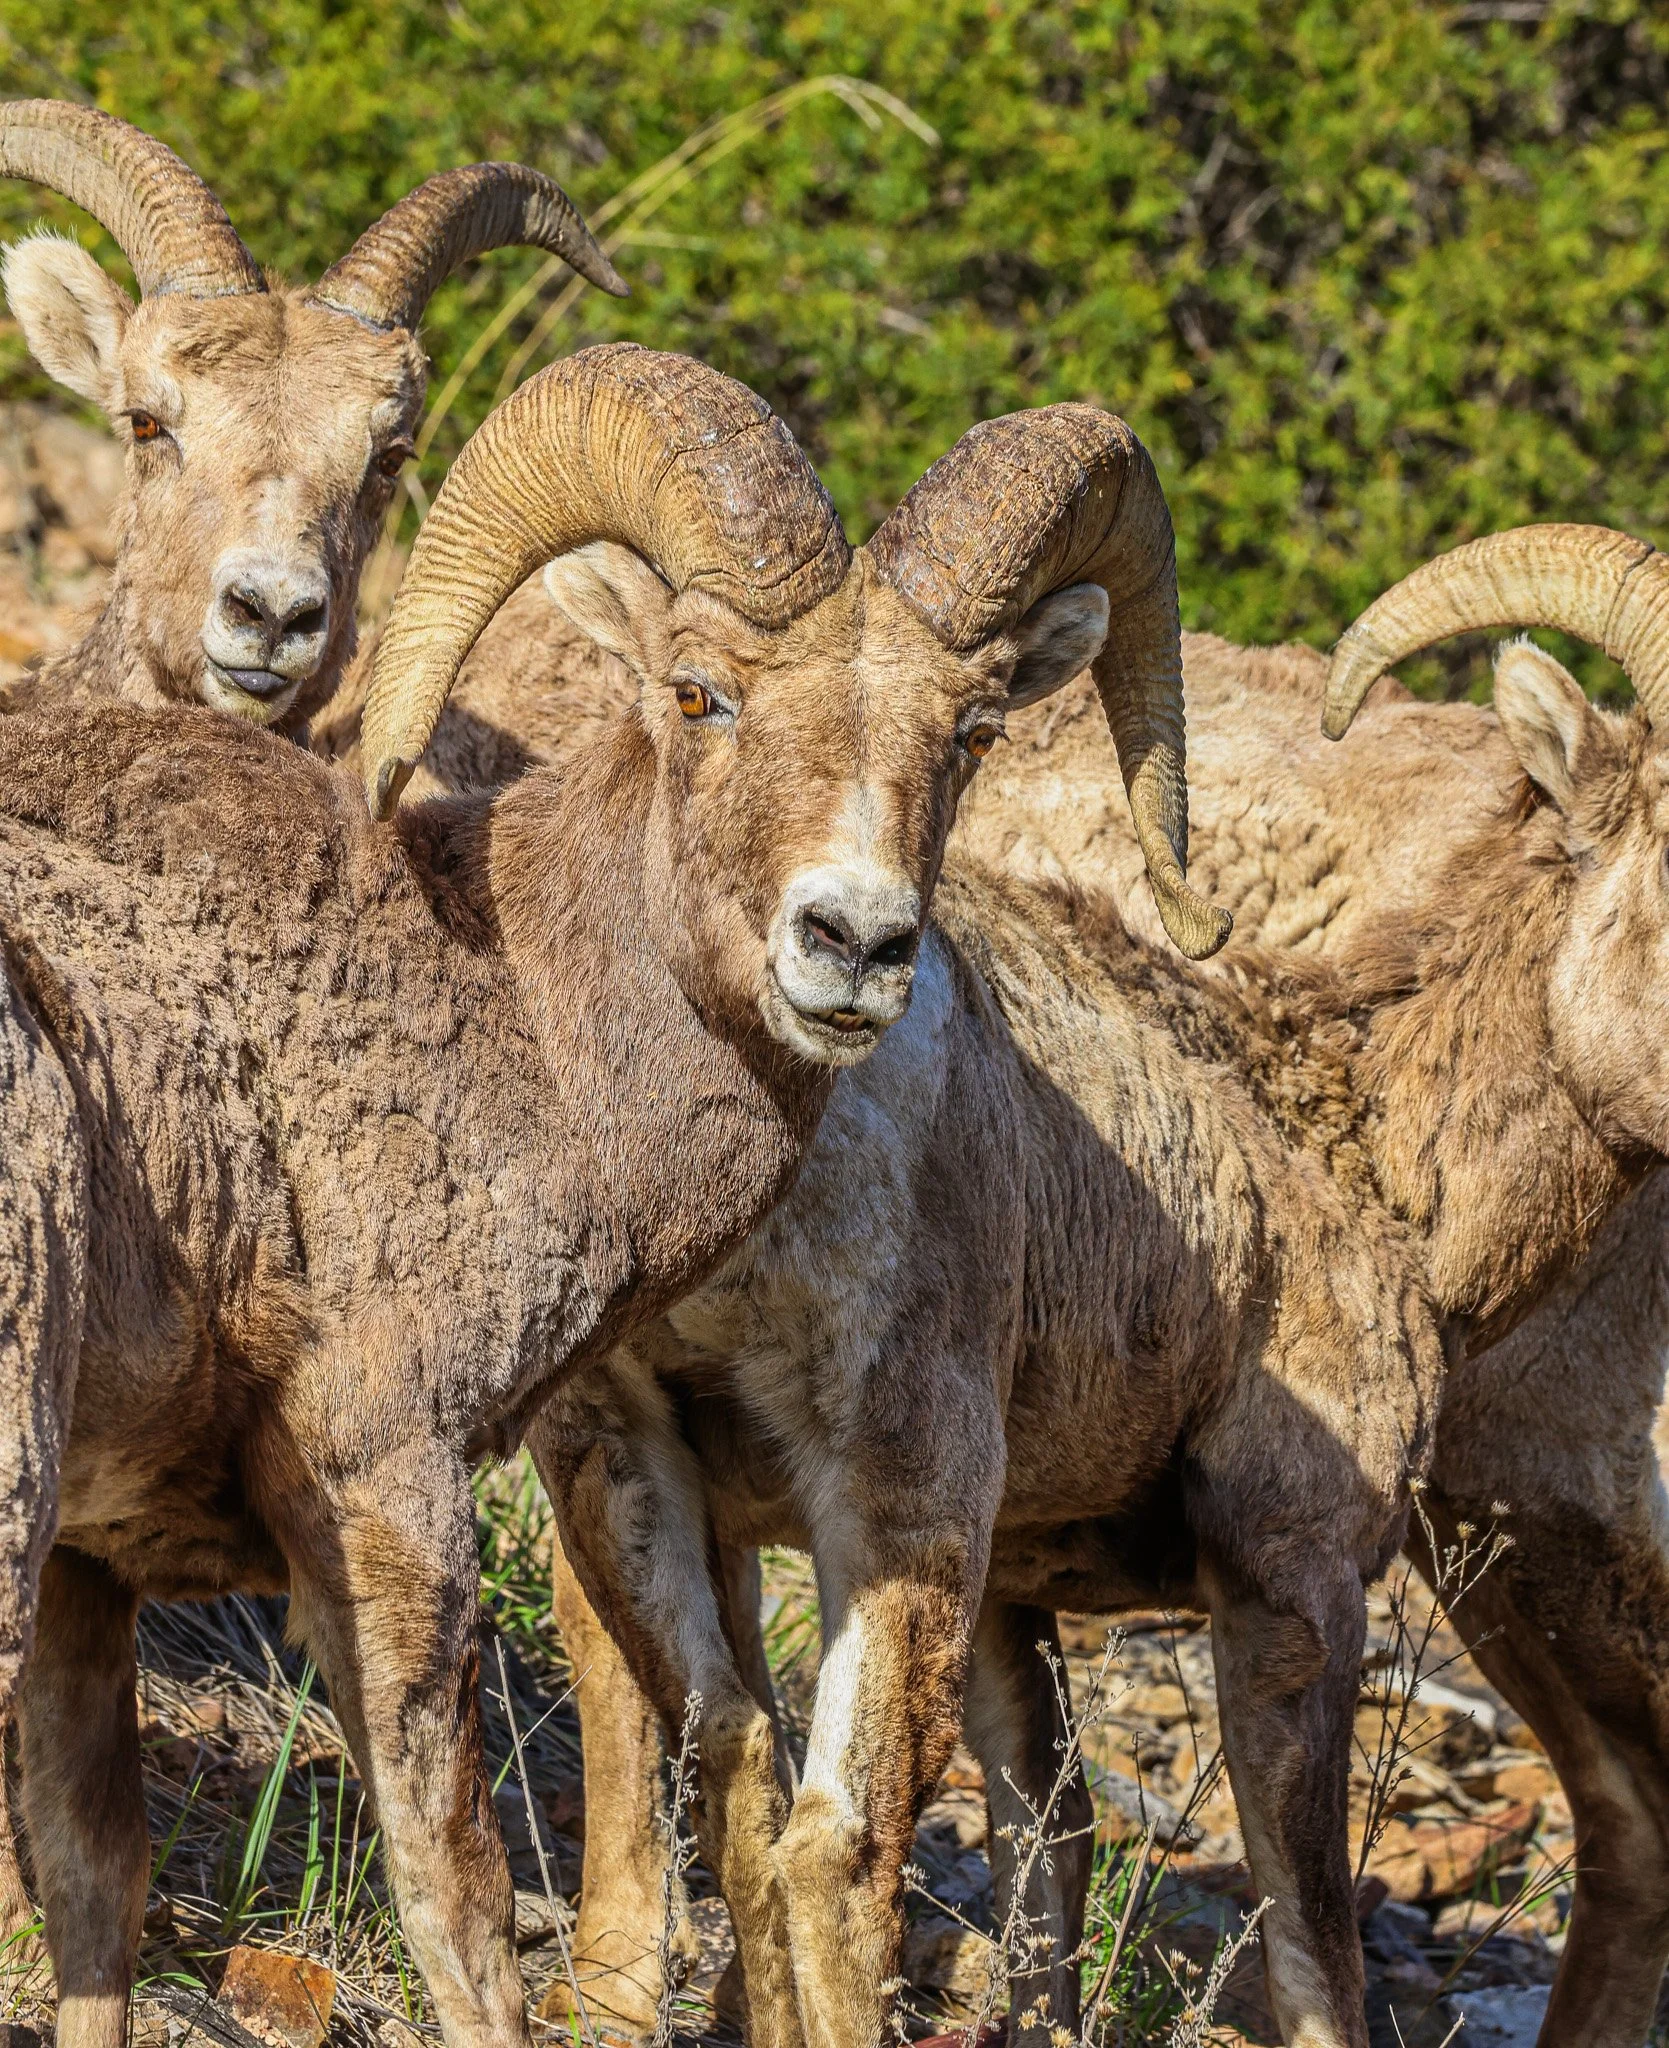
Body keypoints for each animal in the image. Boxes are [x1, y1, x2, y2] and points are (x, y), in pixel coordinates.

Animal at [0, 340, 1217, 2048]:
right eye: (699, 692)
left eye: (971, 732)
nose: (854, 943)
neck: (517, 998)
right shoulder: (386, 1492)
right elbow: (458, 1906)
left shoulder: (93, 1572)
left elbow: (92, 1886)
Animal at [518, 521, 1669, 2048]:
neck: (1356, 1139)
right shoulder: (1293, 1580)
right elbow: (1311, 1944)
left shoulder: (1018, 1594)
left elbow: (1041, 1874)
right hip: (899, 1500)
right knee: (833, 1839)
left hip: (634, 1466)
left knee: (739, 1771)